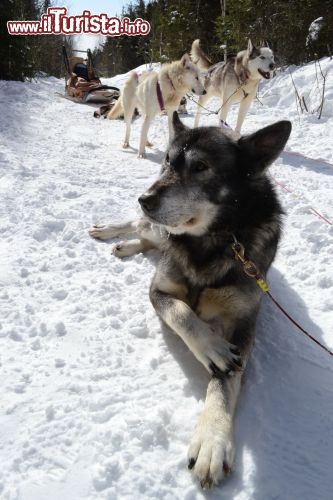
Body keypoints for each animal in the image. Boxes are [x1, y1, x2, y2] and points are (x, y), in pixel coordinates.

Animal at [88, 112, 290, 488]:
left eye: (200, 167)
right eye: (168, 161)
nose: (144, 198)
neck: (211, 241)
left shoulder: (243, 322)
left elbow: (225, 380)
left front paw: (212, 440)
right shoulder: (159, 290)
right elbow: (182, 312)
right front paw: (211, 347)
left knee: (149, 234)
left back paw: (126, 244)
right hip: (153, 227)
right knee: (141, 226)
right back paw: (111, 231)